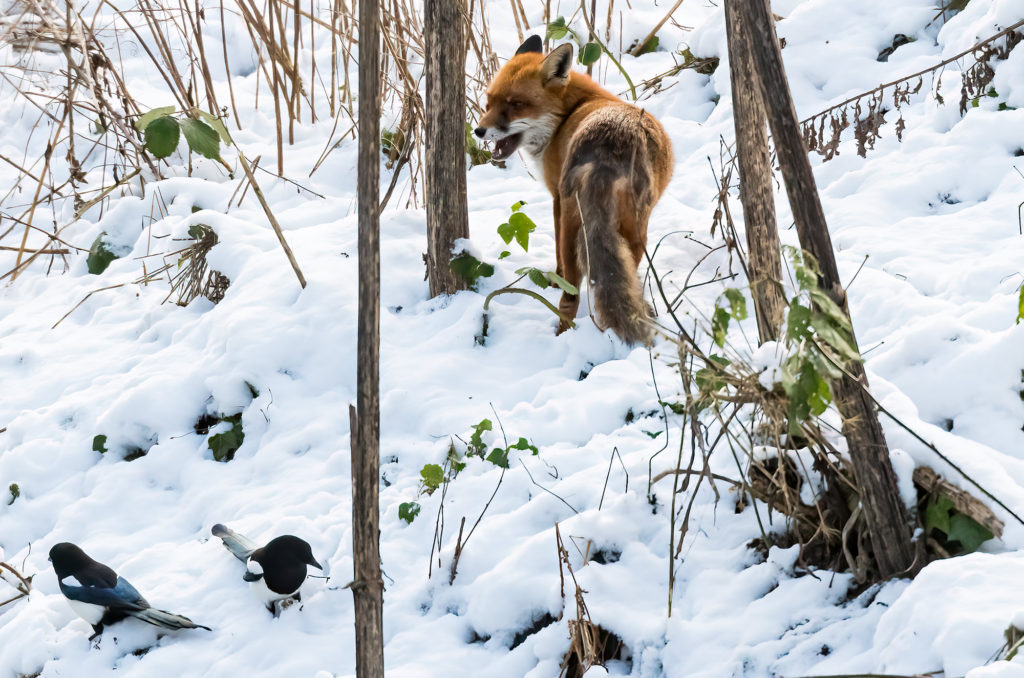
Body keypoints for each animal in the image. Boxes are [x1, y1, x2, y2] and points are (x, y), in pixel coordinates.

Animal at [477, 34, 675, 348]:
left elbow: (558, 261)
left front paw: (552, 278)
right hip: (634, 234)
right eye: (489, 103)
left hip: (576, 228)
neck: (569, 112)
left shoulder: (556, 198)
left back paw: (562, 337)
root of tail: (608, 147)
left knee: (569, 296)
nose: (478, 131)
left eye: (516, 104)